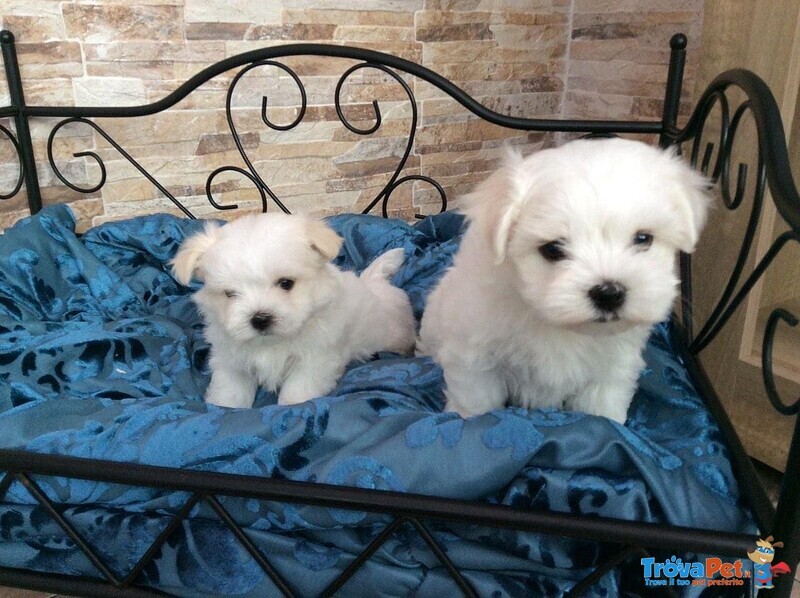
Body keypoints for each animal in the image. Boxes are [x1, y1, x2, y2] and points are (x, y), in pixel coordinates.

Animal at [172, 213, 416, 410]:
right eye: (230, 294)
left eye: (286, 283)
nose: (260, 319)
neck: (271, 343)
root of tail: (373, 281)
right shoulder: (230, 360)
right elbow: (230, 389)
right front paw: (222, 408)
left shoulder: (315, 360)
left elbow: (297, 393)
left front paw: (291, 409)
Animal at [418, 138, 708, 424]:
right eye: (553, 249)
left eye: (643, 239)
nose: (609, 293)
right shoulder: (475, 355)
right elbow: (476, 402)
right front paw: (463, 420)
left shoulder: (610, 369)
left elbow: (603, 412)